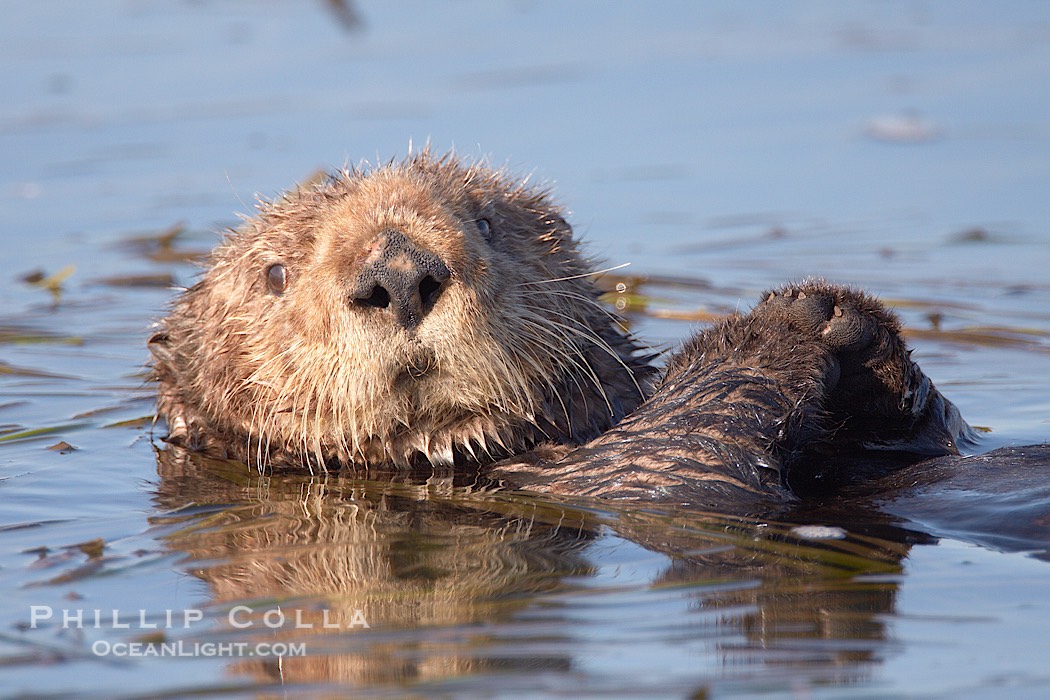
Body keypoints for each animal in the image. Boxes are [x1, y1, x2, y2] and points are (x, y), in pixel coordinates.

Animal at [150, 151, 976, 506]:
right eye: (275, 274)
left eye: (487, 222)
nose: (399, 275)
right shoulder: (623, 481)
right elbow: (674, 458)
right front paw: (778, 325)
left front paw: (845, 320)